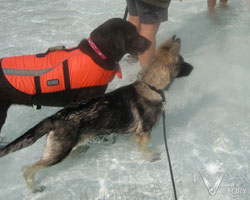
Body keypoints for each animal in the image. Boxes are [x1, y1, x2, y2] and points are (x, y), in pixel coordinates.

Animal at [0, 36, 193, 192]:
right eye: (182, 63)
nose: (193, 67)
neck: (150, 86)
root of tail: (55, 117)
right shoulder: (144, 133)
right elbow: (145, 149)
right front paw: (149, 157)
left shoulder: (137, 133)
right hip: (58, 153)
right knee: (28, 169)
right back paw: (33, 187)